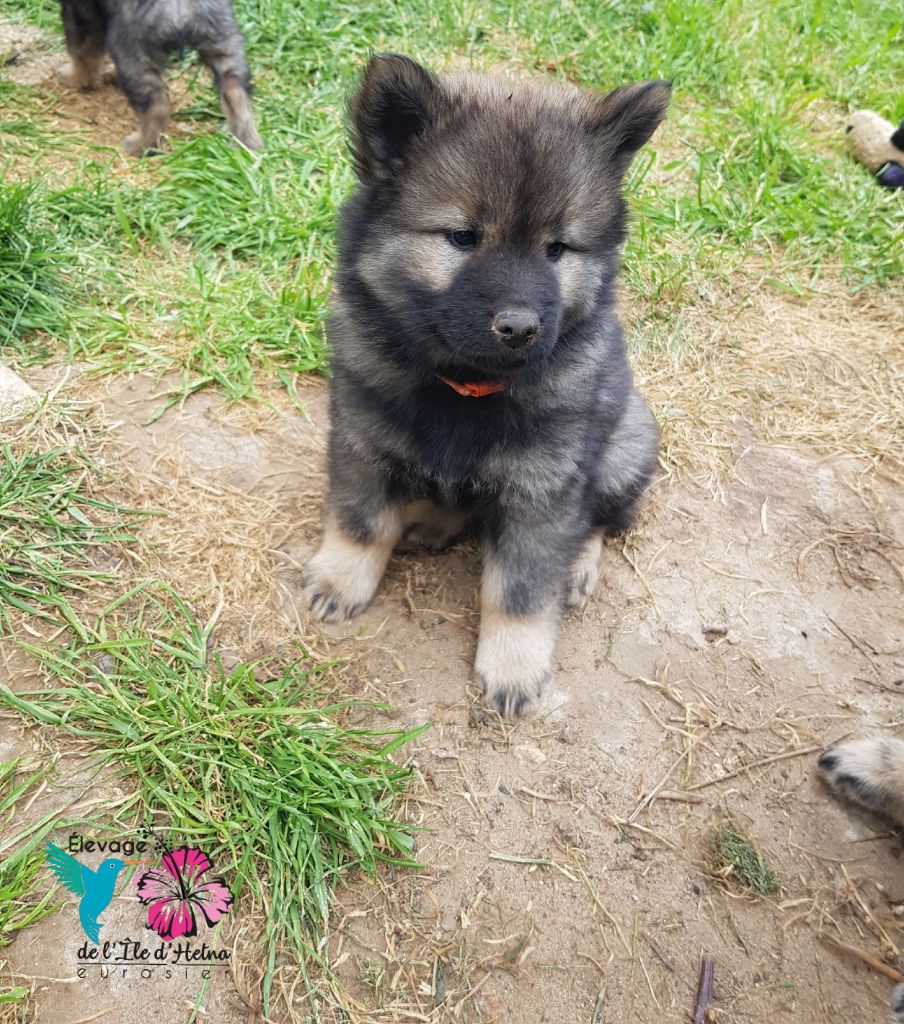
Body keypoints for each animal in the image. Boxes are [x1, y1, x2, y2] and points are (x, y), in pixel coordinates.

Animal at [58, 0, 262, 155]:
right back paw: (249, 145)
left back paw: (140, 146)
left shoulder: (82, 10)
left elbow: (83, 49)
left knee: (157, 107)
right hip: (225, 41)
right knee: (236, 94)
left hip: (133, 51)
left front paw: (76, 78)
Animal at [304, 54, 670, 716]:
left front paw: (515, 666)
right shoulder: (362, 435)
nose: (520, 327)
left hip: (626, 443)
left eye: (557, 248)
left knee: (601, 518)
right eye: (462, 237)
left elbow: (520, 590)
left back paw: (576, 565)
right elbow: (360, 521)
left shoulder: (543, 487)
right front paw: (342, 578)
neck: (463, 385)